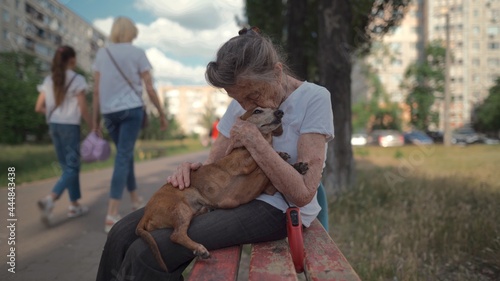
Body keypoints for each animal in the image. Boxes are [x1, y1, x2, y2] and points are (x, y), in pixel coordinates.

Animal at [135, 106, 306, 270]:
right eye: (257, 110)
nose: (280, 112)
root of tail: (146, 214)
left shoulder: (268, 187)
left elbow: (270, 173)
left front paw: (296, 165)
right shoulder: (245, 163)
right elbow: (261, 163)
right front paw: (281, 155)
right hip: (180, 209)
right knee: (175, 235)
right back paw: (199, 248)